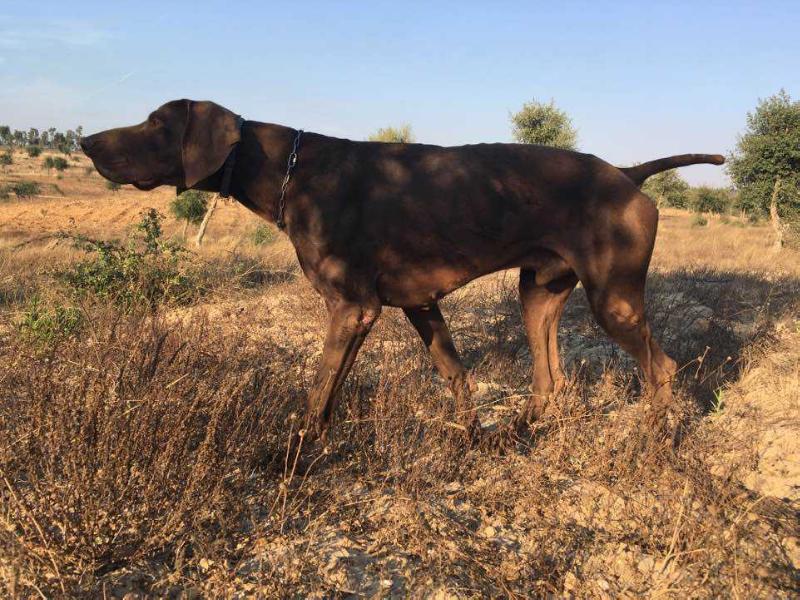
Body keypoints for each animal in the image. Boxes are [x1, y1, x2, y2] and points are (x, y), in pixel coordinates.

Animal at [81, 101, 724, 440]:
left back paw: (650, 442)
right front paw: (472, 438)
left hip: (613, 300)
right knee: (551, 378)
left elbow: (320, 387)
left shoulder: (353, 308)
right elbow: (454, 373)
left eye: (157, 122)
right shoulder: (417, 303)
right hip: (538, 294)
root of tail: (627, 173)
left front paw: (295, 455)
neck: (294, 171)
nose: (86, 141)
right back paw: (523, 433)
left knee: (661, 368)